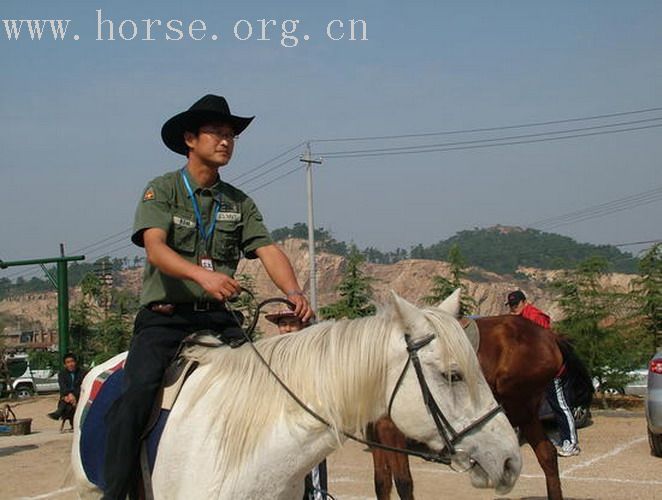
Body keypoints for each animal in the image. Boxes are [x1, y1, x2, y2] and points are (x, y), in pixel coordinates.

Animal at [368, 314, 576, 498]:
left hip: (518, 405)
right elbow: (381, 482)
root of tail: (551, 336)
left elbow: (403, 483)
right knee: (547, 455)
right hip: (526, 414)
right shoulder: (373, 433)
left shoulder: (390, 429)